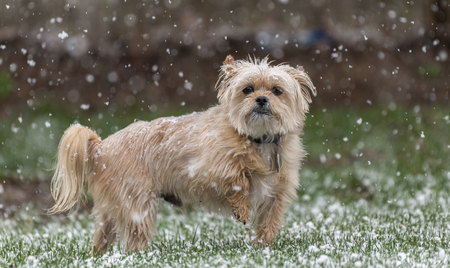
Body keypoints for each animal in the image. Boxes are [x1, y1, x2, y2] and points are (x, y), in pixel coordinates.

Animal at [49, 55, 316, 254]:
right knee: (135, 238)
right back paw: (142, 256)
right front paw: (241, 208)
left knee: (103, 236)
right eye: (247, 89)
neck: (258, 139)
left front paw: (264, 247)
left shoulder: (276, 194)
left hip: (112, 209)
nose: (261, 99)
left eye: (277, 91)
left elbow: (269, 221)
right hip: (137, 204)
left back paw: (98, 255)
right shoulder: (206, 169)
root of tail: (101, 145)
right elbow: (238, 179)